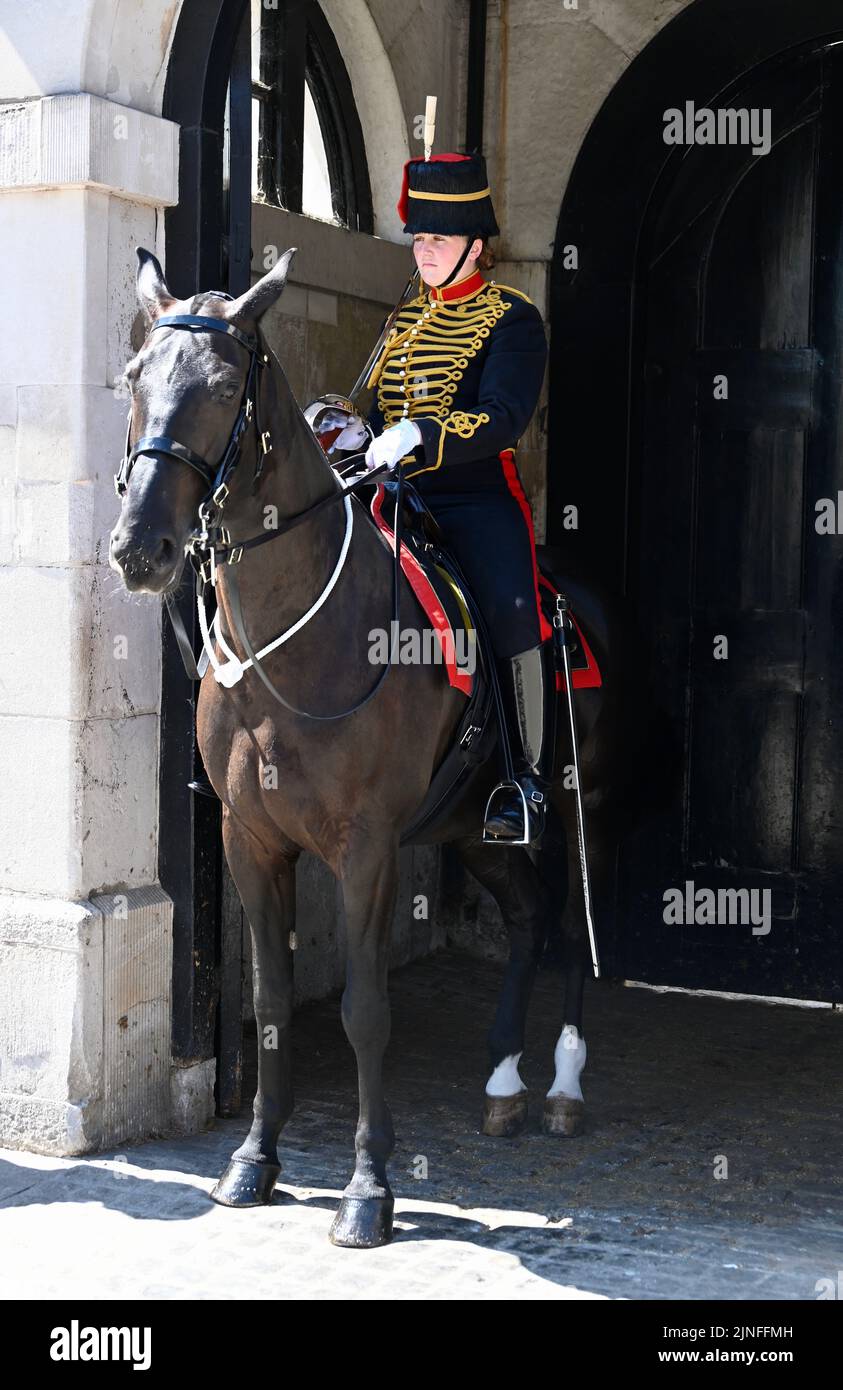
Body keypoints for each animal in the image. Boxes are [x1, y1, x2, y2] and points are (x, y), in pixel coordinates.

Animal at [109, 246, 624, 1249]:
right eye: (134, 379)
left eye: (222, 386)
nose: (139, 549)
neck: (291, 641)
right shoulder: (247, 838)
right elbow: (270, 1003)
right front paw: (252, 1159)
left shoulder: (368, 847)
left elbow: (365, 1011)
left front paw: (367, 1187)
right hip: (471, 826)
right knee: (529, 916)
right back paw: (504, 1081)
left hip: (575, 805)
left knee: (576, 926)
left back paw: (566, 1084)